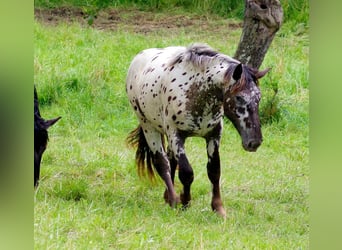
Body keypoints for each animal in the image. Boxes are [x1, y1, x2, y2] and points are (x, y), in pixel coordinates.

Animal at [125, 43, 270, 217]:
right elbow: (187, 173)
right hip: (149, 128)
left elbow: (214, 171)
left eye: (258, 98)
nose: (254, 142)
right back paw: (173, 199)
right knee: (162, 163)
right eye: (239, 97)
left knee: (171, 160)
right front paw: (185, 202)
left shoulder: (213, 135)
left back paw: (168, 197)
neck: (196, 91)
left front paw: (218, 208)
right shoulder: (176, 135)